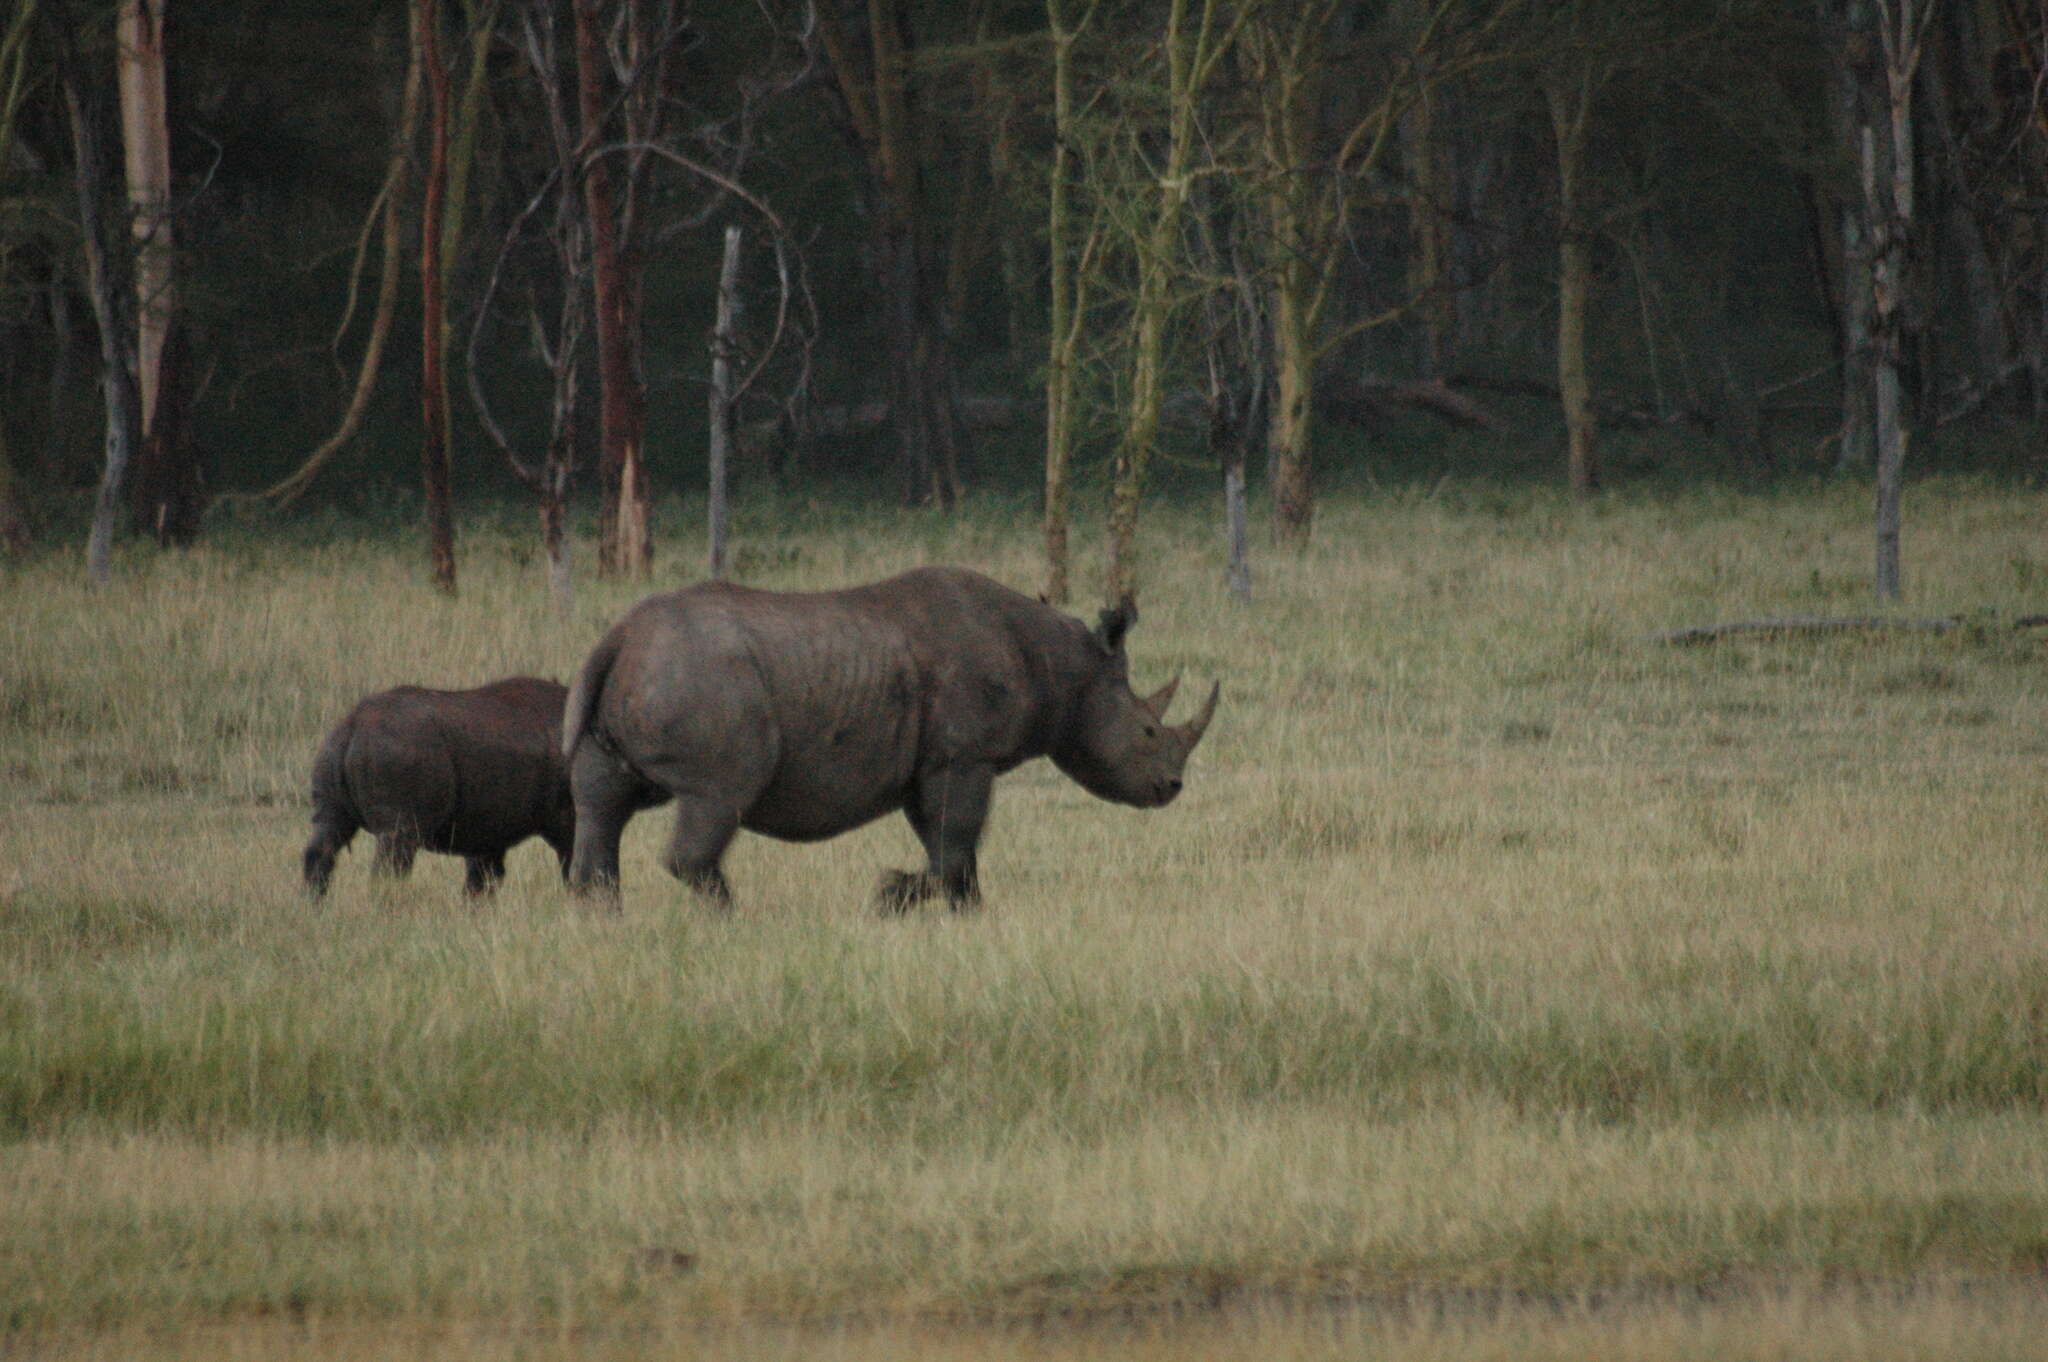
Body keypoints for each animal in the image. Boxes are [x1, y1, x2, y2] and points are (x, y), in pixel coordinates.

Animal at [299, 675, 581, 897]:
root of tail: (352, 725)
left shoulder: (489, 828)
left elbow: (483, 879)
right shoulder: (566, 818)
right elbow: (576, 864)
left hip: (330, 750)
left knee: (327, 835)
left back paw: (315, 909)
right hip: (397, 754)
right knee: (396, 849)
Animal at [561, 561, 1212, 913]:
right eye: (1147, 730)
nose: (1172, 787)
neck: (1063, 666)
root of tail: (619, 637)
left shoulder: (933, 763)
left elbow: (952, 850)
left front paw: (966, 915)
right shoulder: (964, 756)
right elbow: (954, 846)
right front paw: (888, 896)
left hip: (638, 684)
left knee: (600, 805)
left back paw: (603, 921)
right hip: (705, 683)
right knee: (718, 798)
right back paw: (731, 919)